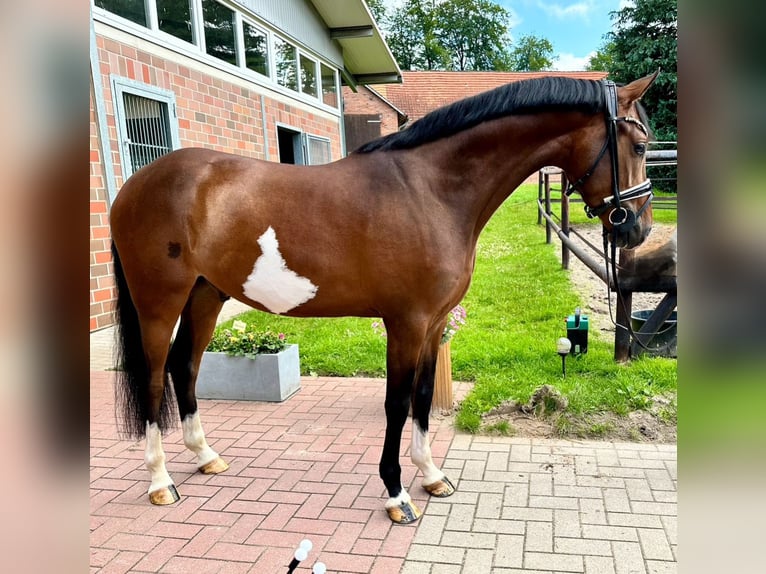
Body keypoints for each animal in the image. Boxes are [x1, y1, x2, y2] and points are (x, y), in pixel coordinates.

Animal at [112, 73, 660, 528]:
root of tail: (134, 185)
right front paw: (397, 495)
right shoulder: (406, 322)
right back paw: (161, 482)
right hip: (159, 302)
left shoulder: (435, 323)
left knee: (185, 366)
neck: (430, 191)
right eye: (638, 144)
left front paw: (432, 476)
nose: (638, 228)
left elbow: (422, 398)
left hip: (207, 294)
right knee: (155, 376)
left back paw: (205, 457)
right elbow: (396, 404)